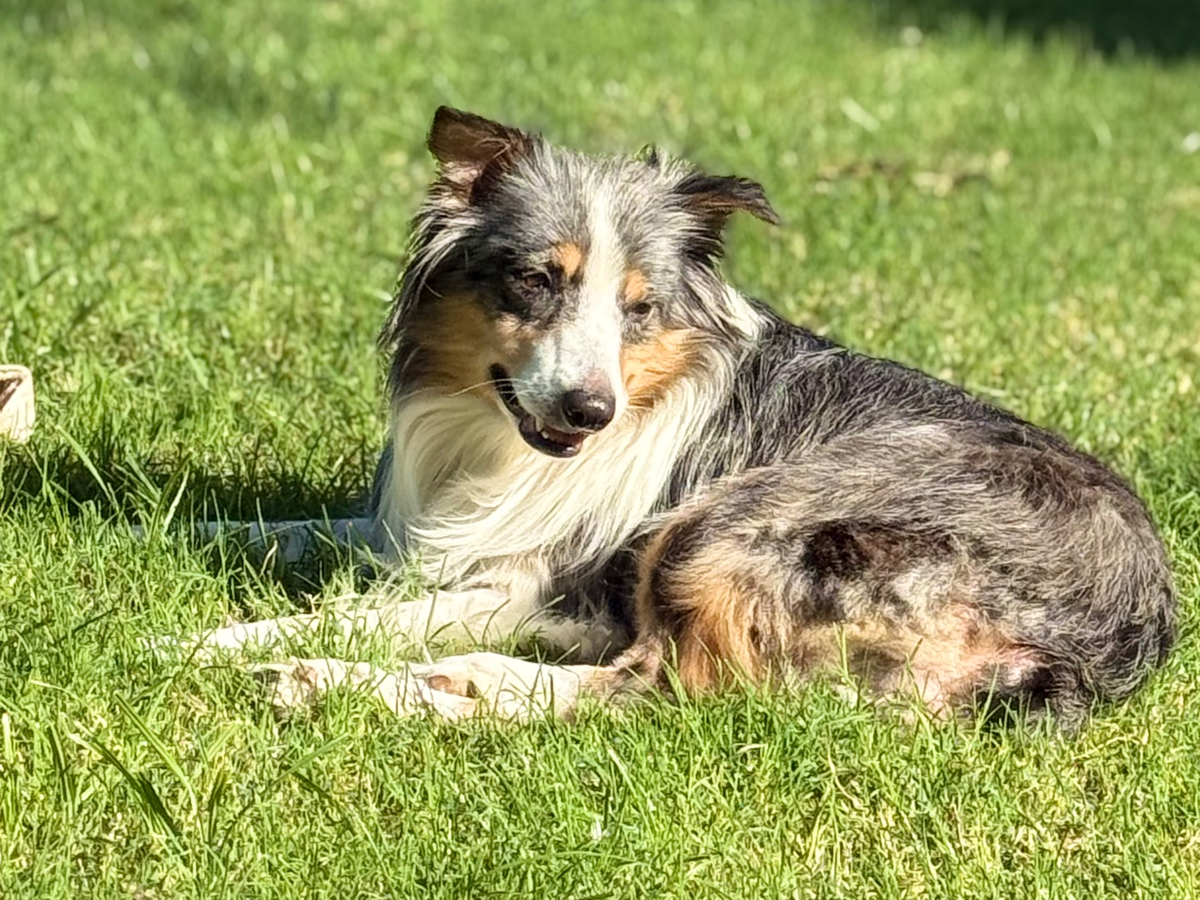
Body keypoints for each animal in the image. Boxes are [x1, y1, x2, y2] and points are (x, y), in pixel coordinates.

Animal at [188, 107, 1175, 732]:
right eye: (537, 280)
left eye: (640, 308)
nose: (589, 410)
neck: (499, 440)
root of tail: (1113, 641)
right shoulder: (425, 525)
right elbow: (300, 528)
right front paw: (169, 533)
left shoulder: (540, 582)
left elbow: (362, 612)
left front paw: (204, 641)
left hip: (729, 523)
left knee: (645, 693)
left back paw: (344, 686)